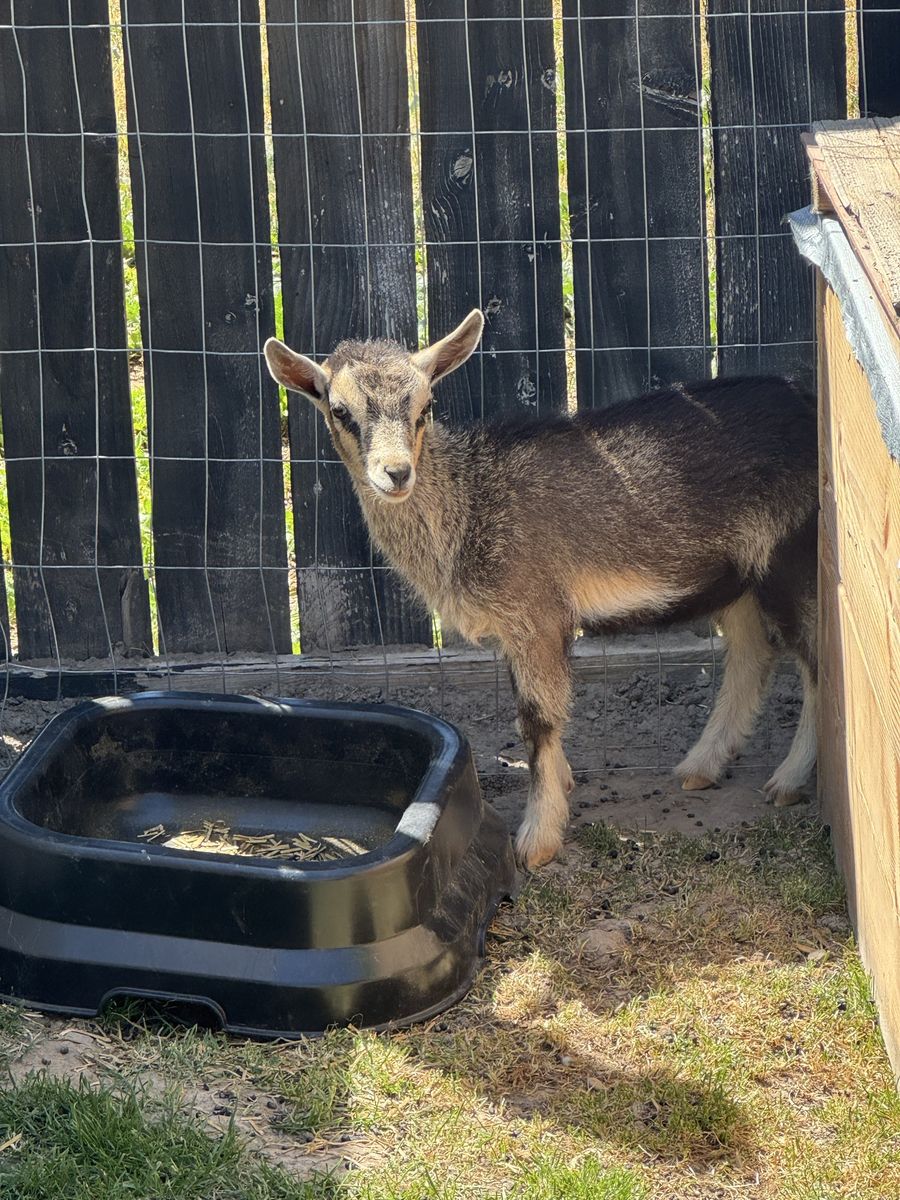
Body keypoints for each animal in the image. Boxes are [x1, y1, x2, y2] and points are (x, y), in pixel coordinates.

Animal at [264, 311, 818, 870]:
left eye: (425, 407)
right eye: (340, 411)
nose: (396, 473)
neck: (470, 508)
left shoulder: (537, 610)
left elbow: (537, 719)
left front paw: (538, 839)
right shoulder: (518, 628)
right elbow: (532, 715)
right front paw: (564, 783)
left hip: (793, 561)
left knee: (816, 665)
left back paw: (787, 781)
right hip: (740, 578)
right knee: (753, 654)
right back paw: (701, 766)